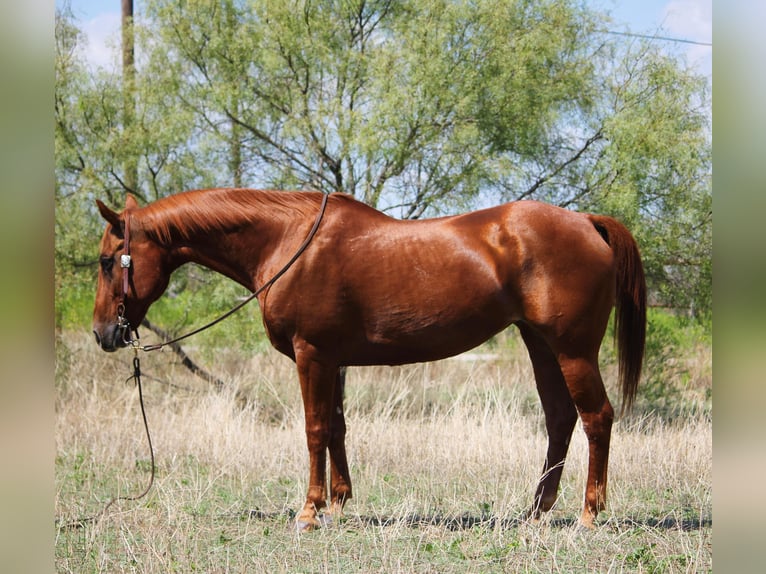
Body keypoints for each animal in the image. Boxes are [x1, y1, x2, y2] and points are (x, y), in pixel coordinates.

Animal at [94, 189, 648, 532]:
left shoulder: (311, 355)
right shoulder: (332, 359)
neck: (289, 241)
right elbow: (337, 427)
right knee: (559, 419)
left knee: (596, 418)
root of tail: (588, 222)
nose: (104, 333)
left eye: (106, 261)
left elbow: (314, 428)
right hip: (540, 344)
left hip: (572, 348)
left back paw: (589, 514)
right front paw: (338, 503)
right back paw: (535, 511)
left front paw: (309, 511)